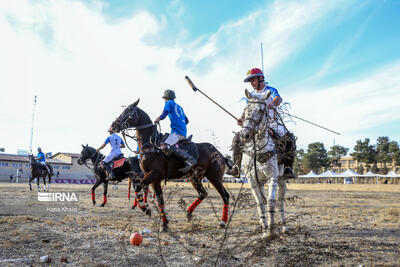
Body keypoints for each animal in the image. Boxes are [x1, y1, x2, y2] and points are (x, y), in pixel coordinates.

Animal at [111, 100, 230, 232]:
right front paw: (164, 223)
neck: (151, 145)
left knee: (225, 196)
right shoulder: (155, 179)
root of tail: (220, 154)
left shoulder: (154, 174)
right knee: (202, 193)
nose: (112, 127)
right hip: (195, 177)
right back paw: (188, 213)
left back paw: (222, 222)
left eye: (127, 111)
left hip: (214, 177)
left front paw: (146, 209)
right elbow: (159, 200)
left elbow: (138, 188)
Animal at [241, 90, 288, 241]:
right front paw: (264, 230)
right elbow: (260, 203)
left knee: (280, 201)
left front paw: (271, 231)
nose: (245, 135)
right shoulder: (253, 180)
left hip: (282, 180)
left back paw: (284, 227)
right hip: (261, 182)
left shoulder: (272, 177)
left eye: (262, 110)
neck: (259, 150)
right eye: (245, 109)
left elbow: (270, 201)